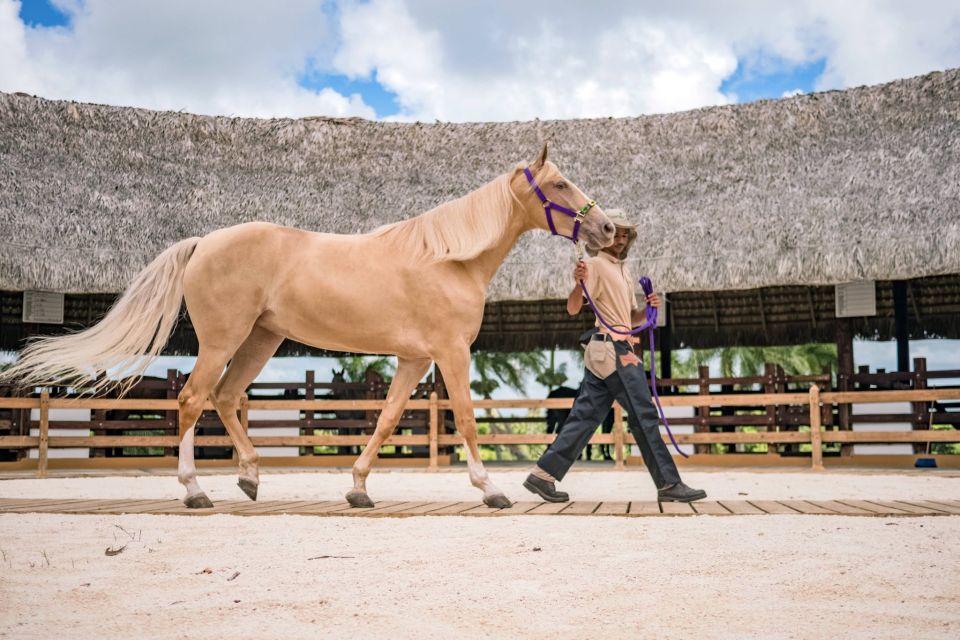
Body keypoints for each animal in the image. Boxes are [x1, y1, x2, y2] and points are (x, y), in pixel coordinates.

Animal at [1, 146, 616, 510]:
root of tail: (203, 242)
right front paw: (490, 490)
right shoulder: (450, 354)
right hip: (224, 339)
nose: (609, 229)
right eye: (559, 185)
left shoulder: (415, 359)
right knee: (194, 399)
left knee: (226, 397)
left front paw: (358, 487)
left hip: (260, 339)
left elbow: (386, 420)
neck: (449, 258)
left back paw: (250, 478)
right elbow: (464, 419)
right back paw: (196, 490)